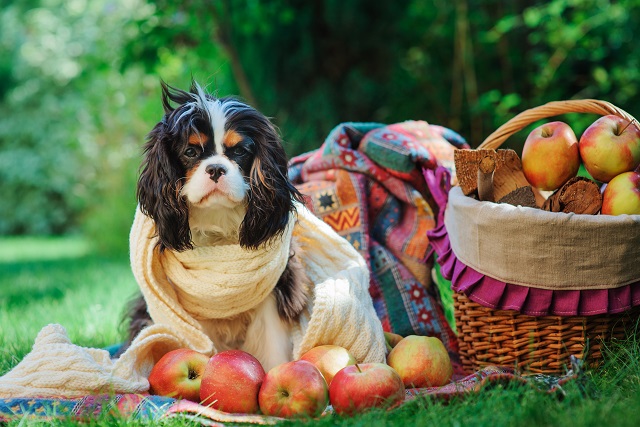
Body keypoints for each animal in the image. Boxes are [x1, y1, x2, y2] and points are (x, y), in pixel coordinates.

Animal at [123, 81, 312, 372]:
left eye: (240, 151)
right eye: (190, 152)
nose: (215, 169)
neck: (218, 223)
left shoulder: (275, 290)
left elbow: (272, 342)